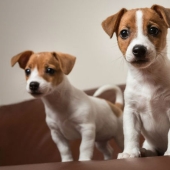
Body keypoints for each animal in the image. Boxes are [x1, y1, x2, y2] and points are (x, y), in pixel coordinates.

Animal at [102, 3, 170, 158]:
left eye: (153, 30)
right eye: (124, 33)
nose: (139, 49)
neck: (147, 77)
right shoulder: (131, 111)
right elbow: (131, 134)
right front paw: (129, 153)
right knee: (152, 150)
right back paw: (145, 152)